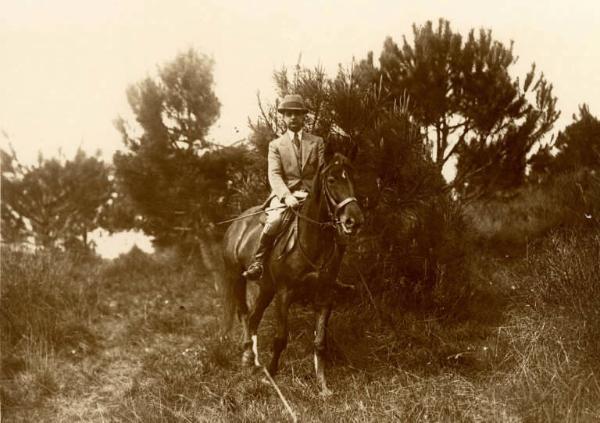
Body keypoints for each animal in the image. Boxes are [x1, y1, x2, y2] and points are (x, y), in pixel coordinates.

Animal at [219, 137, 364, 396]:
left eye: (353, 178)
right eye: (332, 180)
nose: (354, 221)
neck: (313, 241)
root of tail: (237, 223)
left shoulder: (324, 296)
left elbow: (320, 342)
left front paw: (323, 386)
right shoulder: (284, 295)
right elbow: (280, 338)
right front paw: (272, 376)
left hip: (266, 289)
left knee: (254, 318)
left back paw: (252, 360)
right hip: (237, 279)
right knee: (245, 315)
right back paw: (248, 359)